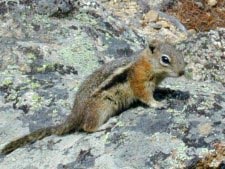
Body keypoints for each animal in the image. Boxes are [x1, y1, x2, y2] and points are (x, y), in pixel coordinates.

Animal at [0, 39, 185, 154]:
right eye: (165, 59)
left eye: (180, 53)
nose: (182, 72)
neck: (147, 64)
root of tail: (76, 112)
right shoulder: (139, 81)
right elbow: (145, 96)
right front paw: (157, 104)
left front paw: (166, 91)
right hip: (100, 109)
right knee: (87, 127)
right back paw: (105, 125)